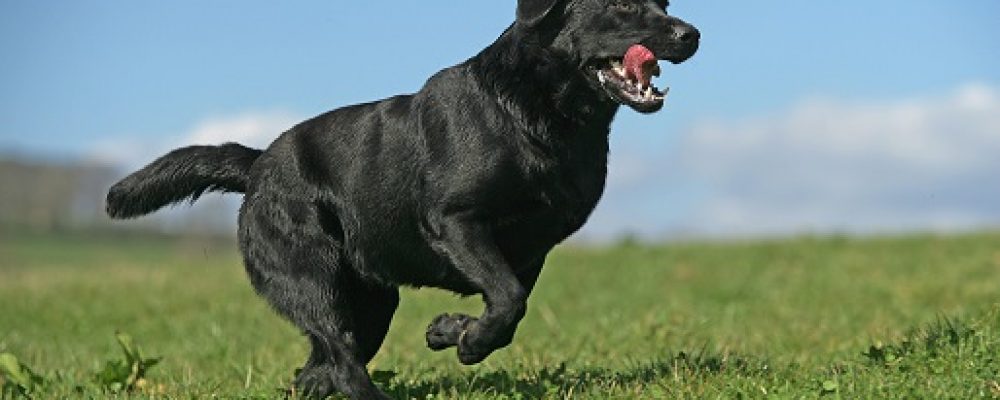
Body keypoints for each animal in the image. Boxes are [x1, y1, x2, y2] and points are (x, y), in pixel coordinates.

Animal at [106, 1, 698, 398]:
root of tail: (257, 165)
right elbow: (507, 299)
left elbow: (507, 308)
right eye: (621, 4)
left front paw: (451, 332)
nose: (691, 33)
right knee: (342, 359)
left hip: (371, 302)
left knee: (323, 365)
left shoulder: (532, 249)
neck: (534, 117)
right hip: (312, 277)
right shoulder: (456, 221)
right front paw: (463, 339)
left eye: (665, 4)